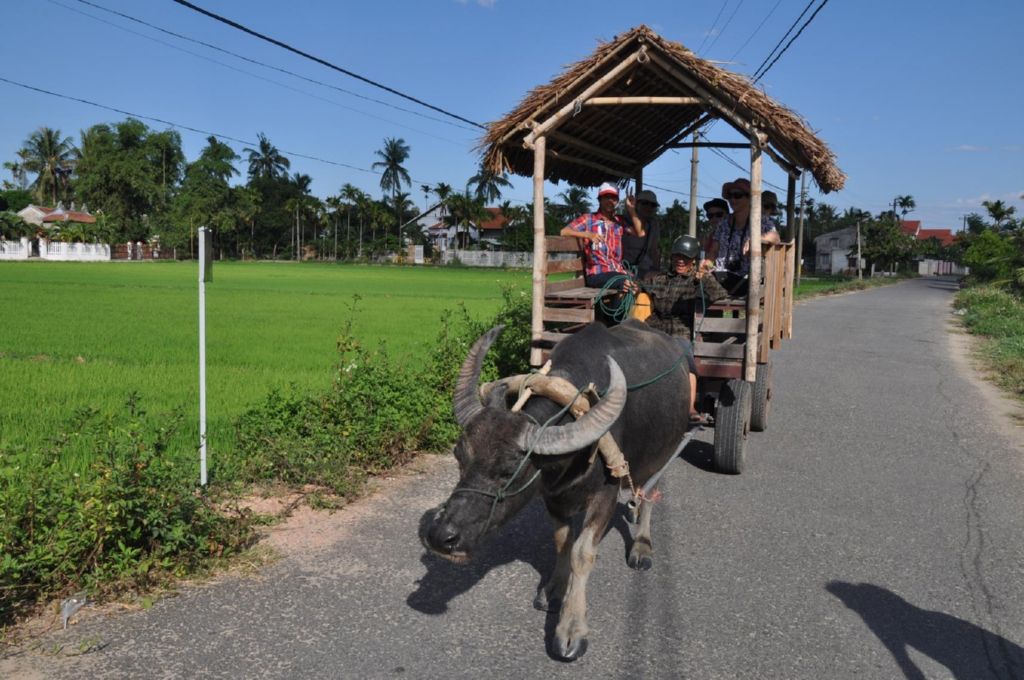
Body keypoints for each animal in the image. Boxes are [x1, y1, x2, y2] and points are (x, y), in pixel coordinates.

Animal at [419, 321, 692, 659]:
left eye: (509, 471)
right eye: (460, 457)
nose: (440, 537)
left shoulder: (605, 495)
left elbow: (581, 553)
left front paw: (571, 629)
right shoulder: (553, 497)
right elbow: (563, 543)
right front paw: (553, 591)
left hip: (661, 454)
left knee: (649, 496)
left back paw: (641, 545)